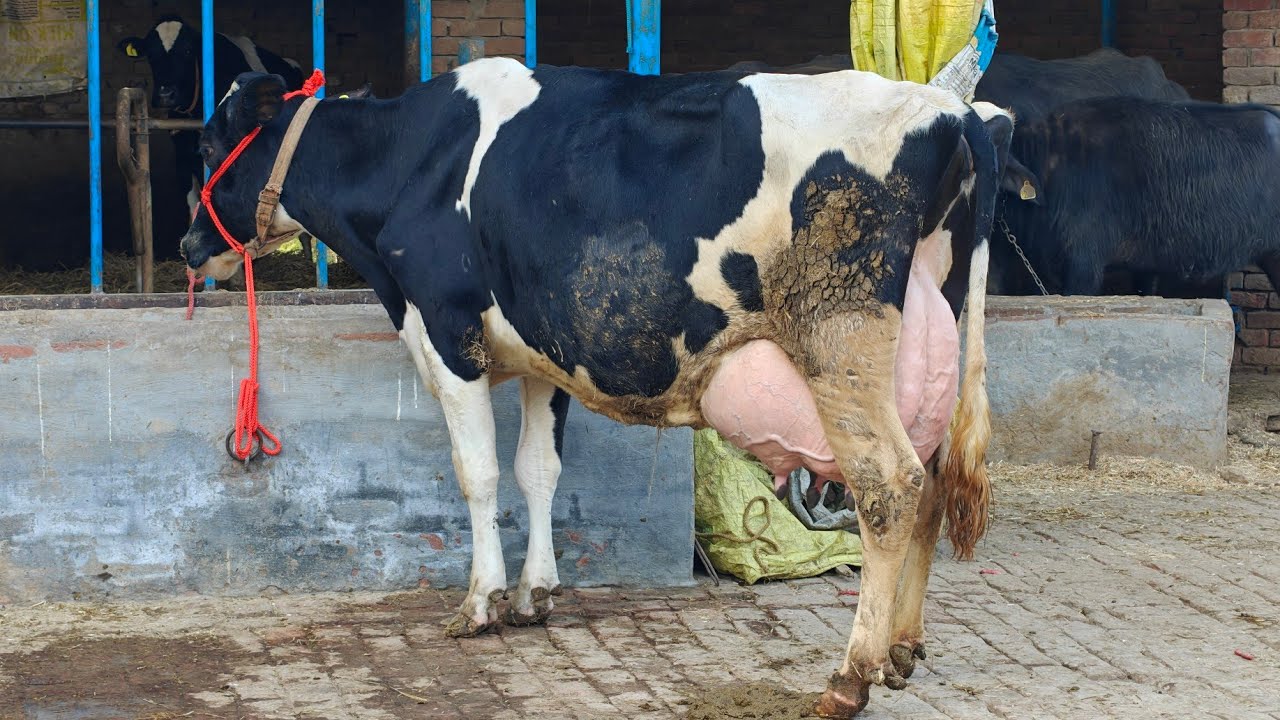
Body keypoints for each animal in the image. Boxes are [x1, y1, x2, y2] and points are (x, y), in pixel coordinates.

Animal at [180, 59, 1012, 717]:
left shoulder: (448, 334)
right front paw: (535, 593)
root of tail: (954, 112)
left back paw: (850, 677)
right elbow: (537, 471)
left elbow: (479, 475)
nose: (188, 246)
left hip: (840, 342)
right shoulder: (543, 356)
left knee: (892, 490)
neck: (415, 162)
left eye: (209, 146)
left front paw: (479, 602)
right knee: (935, 483)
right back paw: (902, 649)